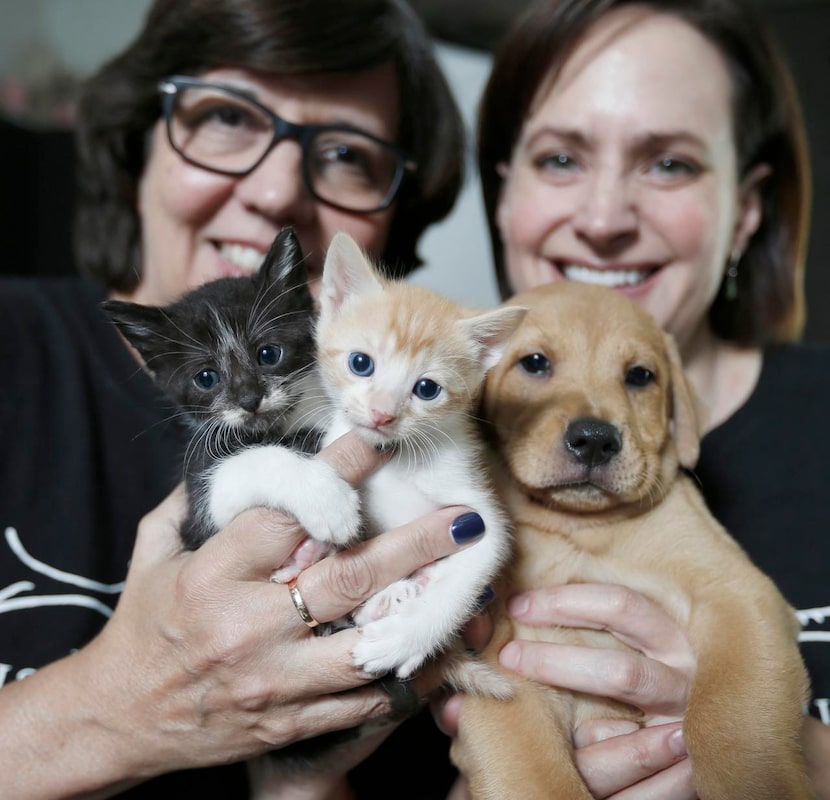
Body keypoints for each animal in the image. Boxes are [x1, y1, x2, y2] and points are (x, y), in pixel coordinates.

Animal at [308, 234, 524, 680]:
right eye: (360, 363)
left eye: (427, 389)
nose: (382, 414)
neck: (397, 459)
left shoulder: (477, 515)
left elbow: (467, 577)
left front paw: (406, 638)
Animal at [452, 282, 816, 800]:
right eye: (535, 363)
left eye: (640, 376)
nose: (594, 438)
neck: (580, 530)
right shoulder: (499, 668)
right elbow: (537, 777)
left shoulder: (737, 592)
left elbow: (730, 719)